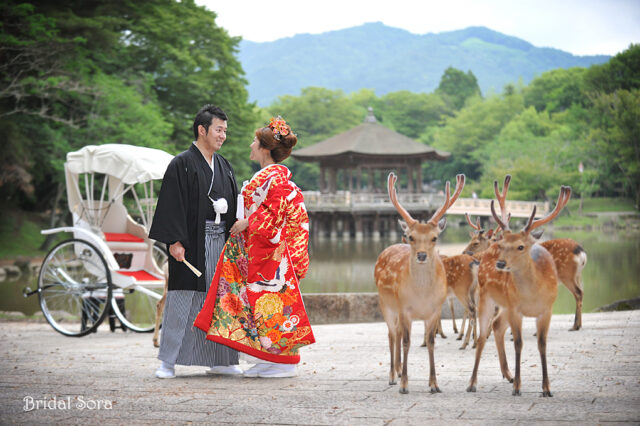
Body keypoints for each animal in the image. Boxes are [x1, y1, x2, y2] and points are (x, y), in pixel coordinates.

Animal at [372, 171, 462, 392]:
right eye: (411, 236)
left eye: (434, 237)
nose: (421, 255)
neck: (422, 295)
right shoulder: (405, 308)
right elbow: (406, 342)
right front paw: (404, 384)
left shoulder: (435, 310)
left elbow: (430, 342)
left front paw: (434, 384)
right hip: (386, 304)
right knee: (392, 334)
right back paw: (393, 375)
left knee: (395, 333)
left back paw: (398, 370)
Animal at [464, 176, 568, 396]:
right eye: (503, 246)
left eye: (521, 246)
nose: (501, 263)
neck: (532, 295)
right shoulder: (515, 309)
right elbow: (519, 344)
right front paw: (518, 387)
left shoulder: (547, 309)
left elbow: (542, 344)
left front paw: (546, 388)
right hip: (487, 297)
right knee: (482, 336)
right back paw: (473, 383)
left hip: (504, 304)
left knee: (497, 326)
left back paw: (508, 374)